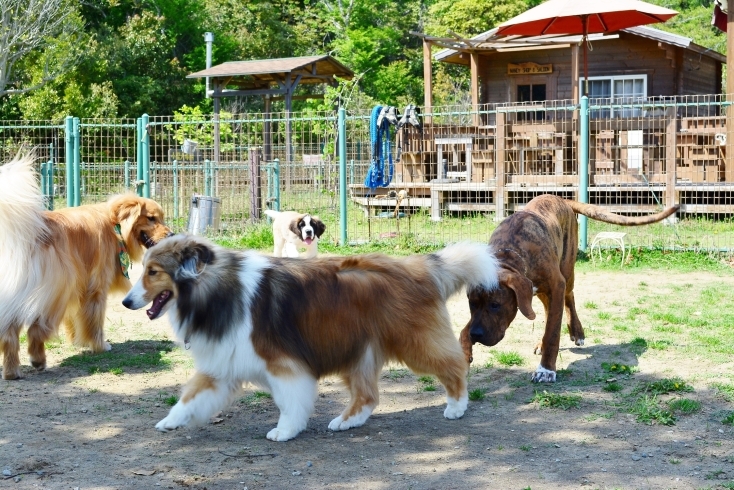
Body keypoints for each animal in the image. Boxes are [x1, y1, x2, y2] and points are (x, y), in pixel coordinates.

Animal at [462, 194, 680, 382]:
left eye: (495, 305)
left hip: (566, 272)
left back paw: (577, 331)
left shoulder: (556, 284)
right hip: (542, 290)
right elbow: (465, 329)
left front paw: (546, 370)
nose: (476, 334)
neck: (509, 254)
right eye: (471, 304)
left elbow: (552, 333)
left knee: (569, 297)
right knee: (551, 309)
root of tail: (561, 199)